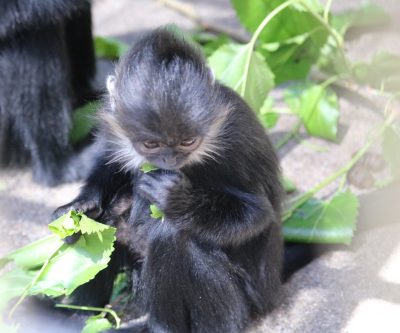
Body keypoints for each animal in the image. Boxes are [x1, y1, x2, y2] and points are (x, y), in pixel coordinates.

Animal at [54, 29, 284, 332]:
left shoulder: (236, 137)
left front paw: (177, 200)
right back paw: (81, 315)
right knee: (107, 223)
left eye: (187, 142)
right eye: (151, 144)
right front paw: (80, 207)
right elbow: (110, 165)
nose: (170, 160)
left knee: (173, 237)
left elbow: (258, 214)